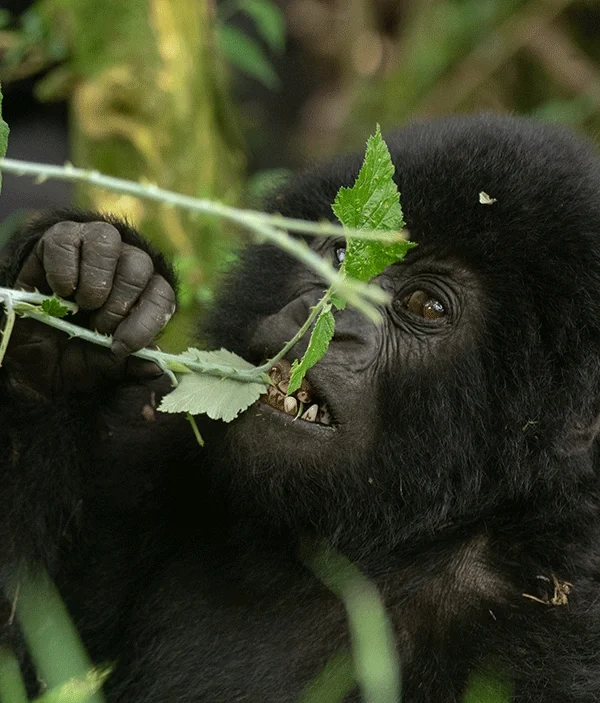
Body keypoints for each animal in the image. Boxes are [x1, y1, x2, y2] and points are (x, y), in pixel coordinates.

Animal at [0, 113, 600, 700]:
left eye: (425, 306)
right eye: (340, 254)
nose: (327, 314)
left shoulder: (554, 596)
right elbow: (29, 627)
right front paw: (79, 302)